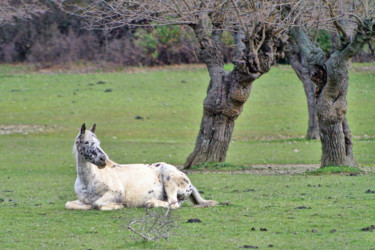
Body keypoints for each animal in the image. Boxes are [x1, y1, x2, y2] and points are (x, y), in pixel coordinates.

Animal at [66, 124, 216, 210]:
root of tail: (188, 181)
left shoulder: (116, 193)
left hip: (169, 179)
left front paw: (120, 205)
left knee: (173, 204)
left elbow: (97, 204)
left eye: (98, 142)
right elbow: (70, 204)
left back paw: (150, 203)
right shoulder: (81, 200)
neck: (89, 182)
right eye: (87, 142)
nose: (103, 159)